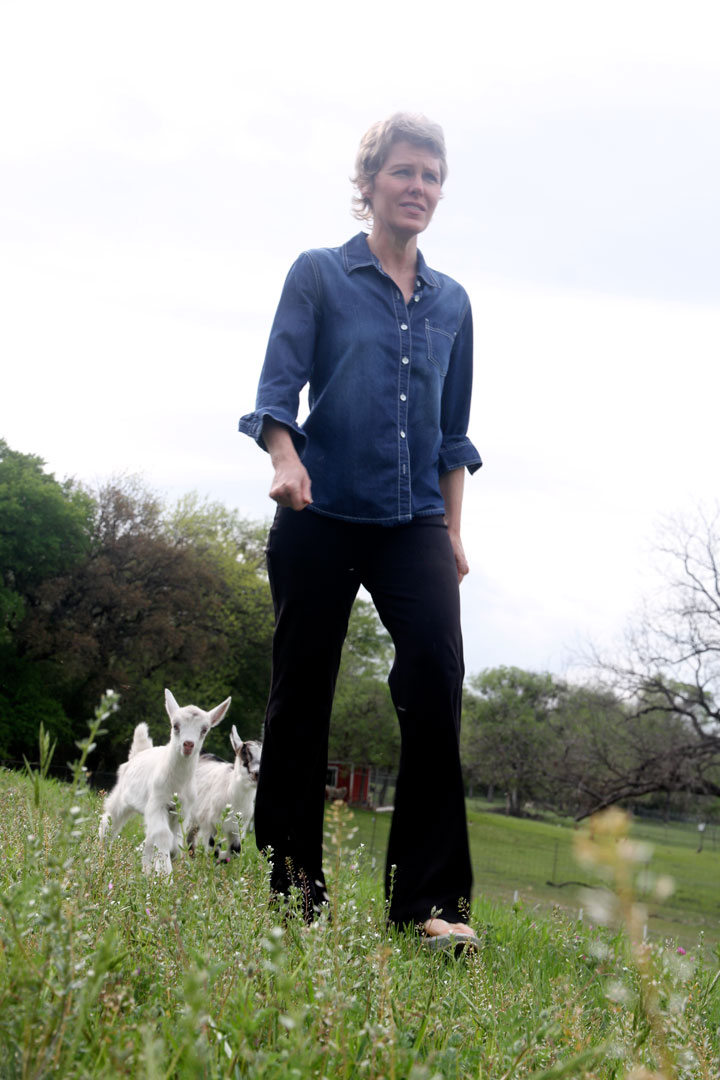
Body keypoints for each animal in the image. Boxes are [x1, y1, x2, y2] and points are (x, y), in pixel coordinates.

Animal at [99, 691, 231, 876]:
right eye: (175, 725)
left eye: (204, 730)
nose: (188, 744)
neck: (177, 783)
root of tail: (139, 753)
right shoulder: (157, 803)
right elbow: (162, 836)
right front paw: (165, 875)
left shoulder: (182, 810)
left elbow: (174, 840)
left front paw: (164, 865)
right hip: (122, 797)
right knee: (109, 821)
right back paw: (101, 856)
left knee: (148, 837)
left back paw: (146, 869)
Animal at [187, 725, 263, 859]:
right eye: (244, 753)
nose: (257, 773)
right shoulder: (209, 824)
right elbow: (214, 851)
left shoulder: (238, 828)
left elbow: (235, 850)